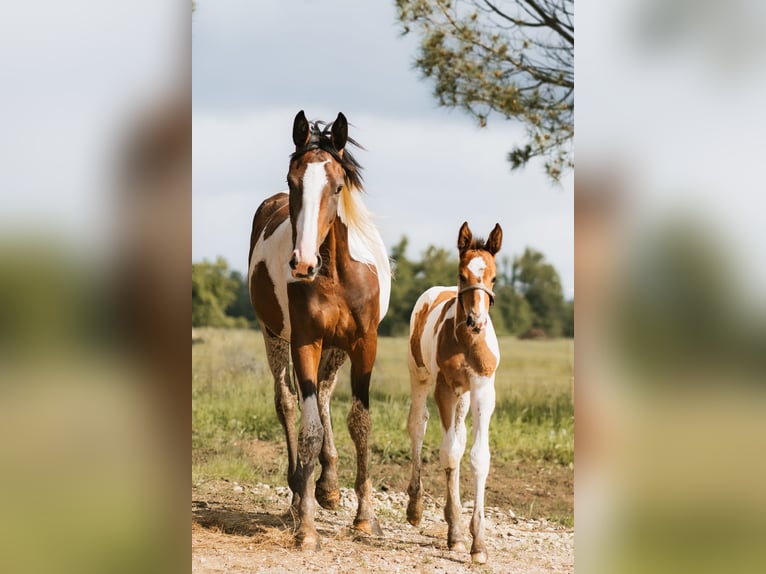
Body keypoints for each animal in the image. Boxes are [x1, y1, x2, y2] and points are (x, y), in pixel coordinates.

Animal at [248, 110, 390, 552]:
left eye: (338, 185)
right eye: (292, 180)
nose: (303, 263)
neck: (336, 273)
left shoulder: (364, 343)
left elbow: (360, 422)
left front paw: (365, 518)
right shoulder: (304, 342)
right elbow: (308, 427)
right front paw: (307, 527)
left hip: (337, 347)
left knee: (325, 396)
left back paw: (327, 485)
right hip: (274, 336)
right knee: (289, 402)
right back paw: (300, 492)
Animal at [408, 222, 504, 568]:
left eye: (494, 278)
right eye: (462, 276)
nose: (476, 321)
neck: (466, 342)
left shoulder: (482, 390)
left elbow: (477, 456)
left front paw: (479, 544)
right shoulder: (444, 389)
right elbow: (448, 453)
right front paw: (457, 537)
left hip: (463, 397)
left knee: (460, 441)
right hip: (420, 376)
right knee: (417, 426)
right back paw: (416, 507)